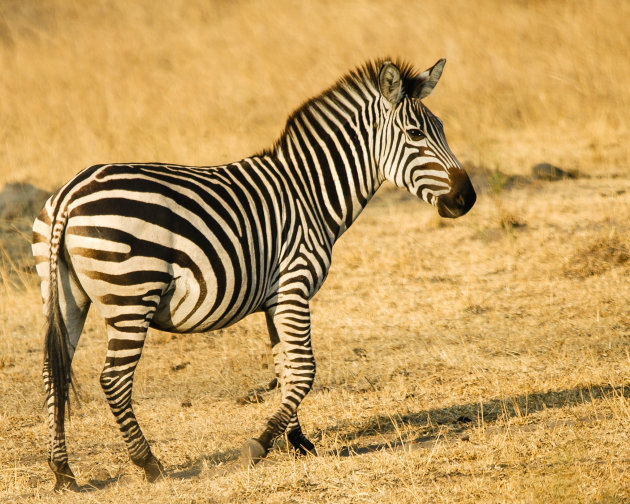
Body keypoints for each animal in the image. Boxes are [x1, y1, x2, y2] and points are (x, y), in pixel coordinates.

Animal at [32, 57, 476, 490]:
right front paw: (260, 444)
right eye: (415, 134)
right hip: (131, 293)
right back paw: (149, 465)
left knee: (54, 373)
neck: (310, 193)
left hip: (64, 295)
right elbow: (304, 370)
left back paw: (63, 473)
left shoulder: (275, 298)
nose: (467, 199)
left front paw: (297, 442)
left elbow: (286, 369)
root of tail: (70, 194)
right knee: (113, 380)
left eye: (441, 129)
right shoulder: (294, 284)